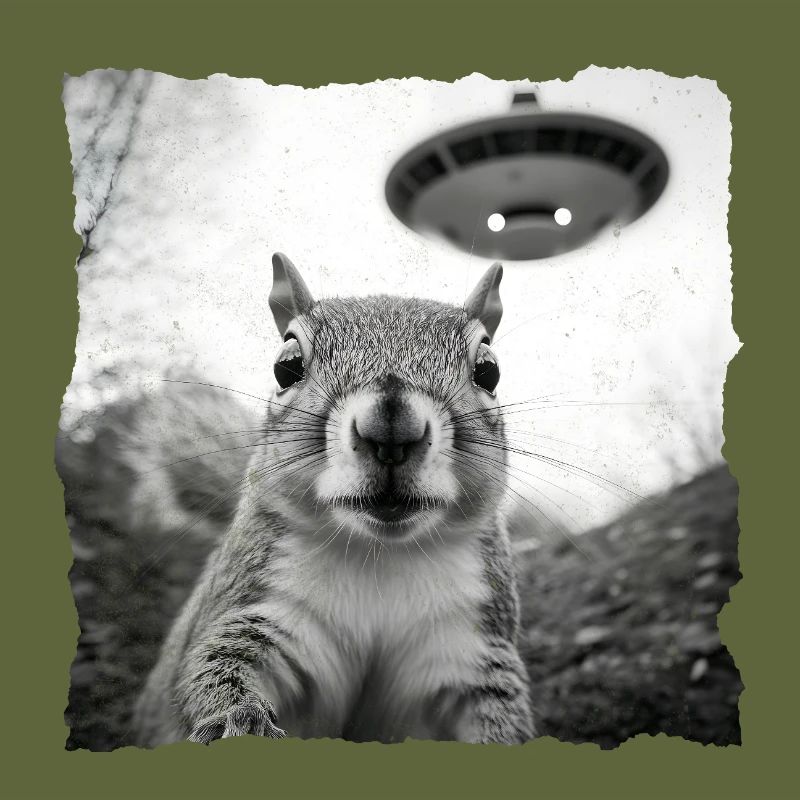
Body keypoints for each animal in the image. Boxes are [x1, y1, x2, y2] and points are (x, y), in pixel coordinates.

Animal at [133, 253, 535, 746]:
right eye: (286, 366)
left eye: (488, 370)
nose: (391, 428)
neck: (381, 555)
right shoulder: (261, 608)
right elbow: (216, 666)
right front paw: (238, 721)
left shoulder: (469, 647)